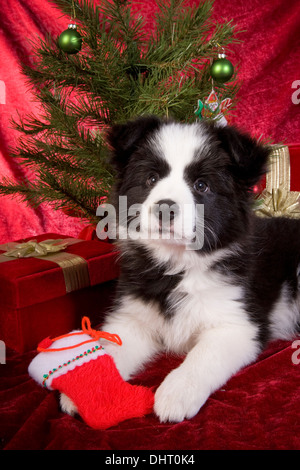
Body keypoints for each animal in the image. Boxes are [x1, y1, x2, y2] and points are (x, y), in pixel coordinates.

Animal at [61, 114, 300, 422]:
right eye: (151, 178)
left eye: (201, 185)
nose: (165, 208)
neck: (177, 268)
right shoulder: (131, 318)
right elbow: (109, 350)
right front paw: (85, 388)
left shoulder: (237, 324)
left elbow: (203, 357)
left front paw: (176, 393)